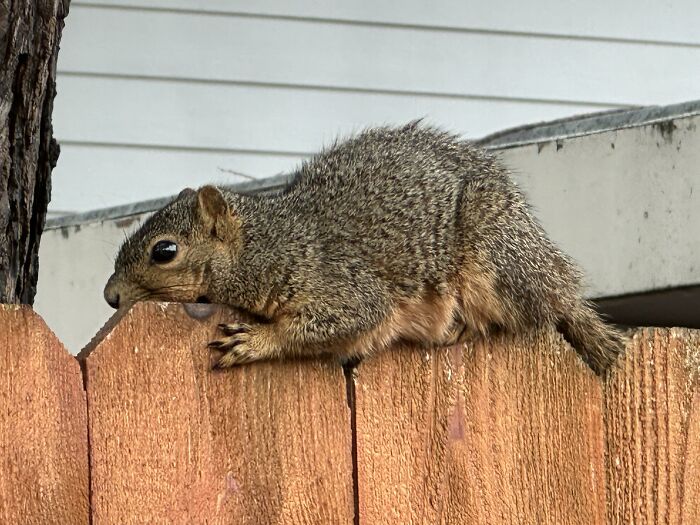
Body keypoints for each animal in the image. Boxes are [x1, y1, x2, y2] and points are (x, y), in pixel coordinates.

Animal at [104, 122, 624, 372]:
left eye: (164, 251)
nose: (110, 296)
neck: (268, 243)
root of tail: (552, 269)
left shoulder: (343, 287)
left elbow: (337, 322)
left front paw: (255, 340)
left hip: (493, 265)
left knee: (529, 314)